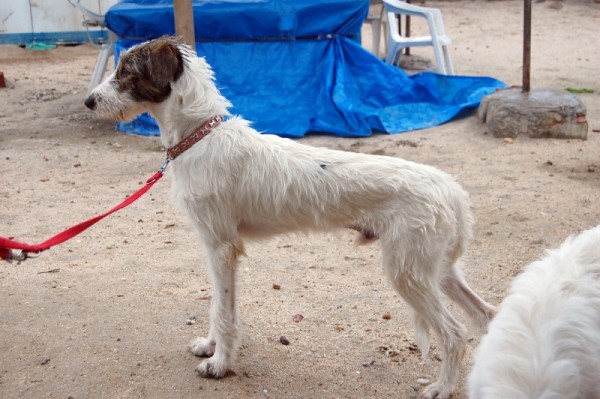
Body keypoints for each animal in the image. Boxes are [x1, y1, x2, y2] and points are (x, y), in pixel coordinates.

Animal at [85, 37, 496, 399]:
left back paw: (443, 386)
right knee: (486, 314)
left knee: (455, 333)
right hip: (437, 271)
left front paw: (219, 364)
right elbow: (219, 305)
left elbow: (223, 310)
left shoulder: (221, 248)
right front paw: (211, 346)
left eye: (126, 71)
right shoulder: (218, 250)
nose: (89, 101)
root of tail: (454, 191)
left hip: (408, 273)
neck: (200, 136)